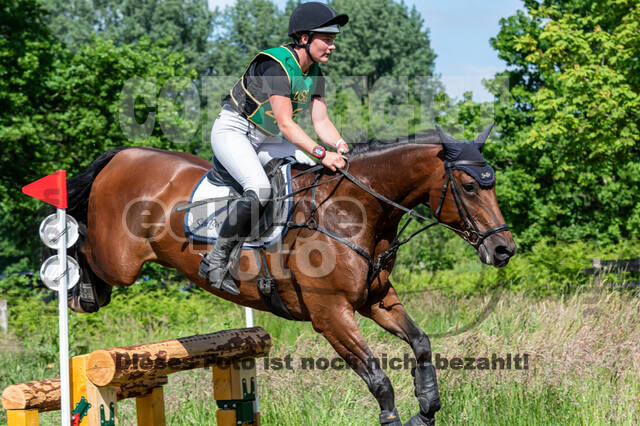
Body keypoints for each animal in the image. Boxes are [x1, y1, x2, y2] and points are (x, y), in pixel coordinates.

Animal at [65, 125, 516, 426]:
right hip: (119, 261)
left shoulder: (377, 300)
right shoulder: (331, 315)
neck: (352, 210)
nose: (504, 249)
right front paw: (394, 418)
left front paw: (426, 408)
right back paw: (77, 288)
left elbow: (421, 342)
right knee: (82, 241)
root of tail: (123, 155)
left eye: (491, 185)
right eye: (469, 187)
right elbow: (378, 378)